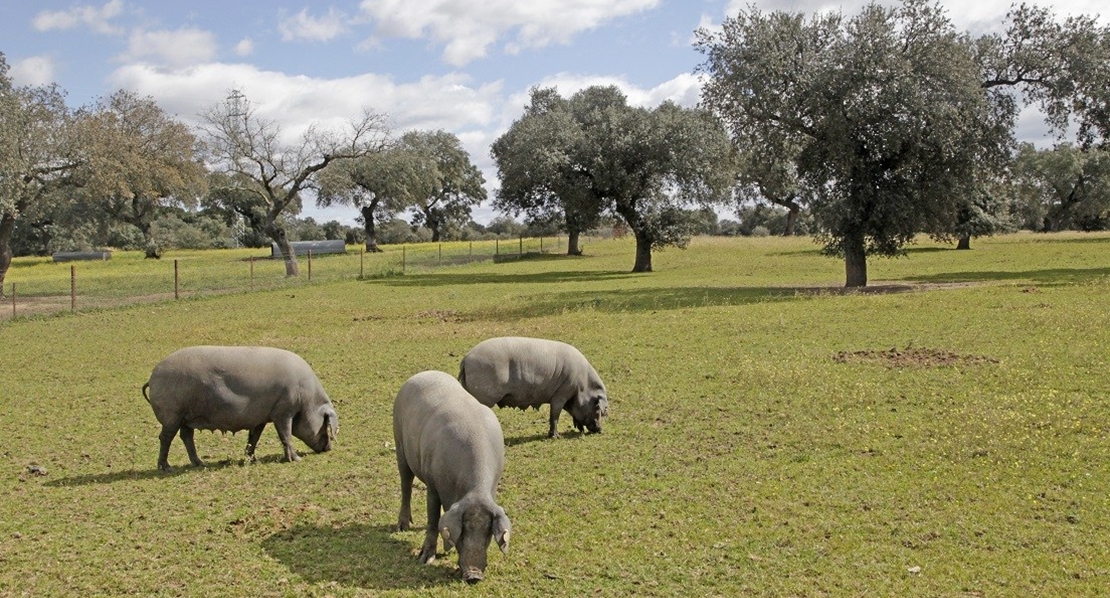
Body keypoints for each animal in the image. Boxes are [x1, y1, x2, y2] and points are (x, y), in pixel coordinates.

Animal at [140, 346, 335, 472]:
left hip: (186, 417)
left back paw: (200, 463)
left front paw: (252, 460)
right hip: (172, 414)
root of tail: (153, 377)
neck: (307, 399)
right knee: (165, 437)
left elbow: (254, 438)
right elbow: (285, 435)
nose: (329, 448)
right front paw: (296, 460)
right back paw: (167, 468)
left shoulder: (261, 418)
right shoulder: (283, 411)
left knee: (186, 436)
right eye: (325, 424)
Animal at [392, 372, 508, 581]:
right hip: (399, 444)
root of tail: (422, 373)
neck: (474, 489)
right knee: (406, 484)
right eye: (463, 530)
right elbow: (432, 519)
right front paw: (425, 559)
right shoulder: (432, 484)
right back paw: (402, 527)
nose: (474, 575)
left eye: (488, 532)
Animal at [457, 337, 608, 439]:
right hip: (483, 396)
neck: (582, 385)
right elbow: (554, 415)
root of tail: (466, 359)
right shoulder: (561, 394)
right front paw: (556, 437)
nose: (600, 430)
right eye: (597, 408)